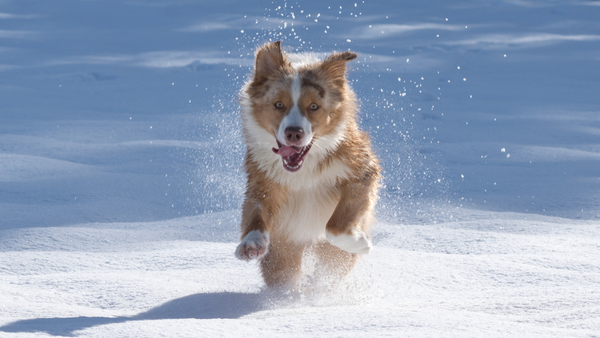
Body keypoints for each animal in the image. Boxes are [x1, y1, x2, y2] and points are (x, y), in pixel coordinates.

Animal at [236, 40, 380, 288]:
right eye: (278, 104)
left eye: (313, 106)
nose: (294, 132)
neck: (303, 171)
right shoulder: (262, 181)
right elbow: (255, 212)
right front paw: (251, 244)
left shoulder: (361, 170)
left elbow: (334, 227)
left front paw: (361, 242)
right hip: (283, 255)